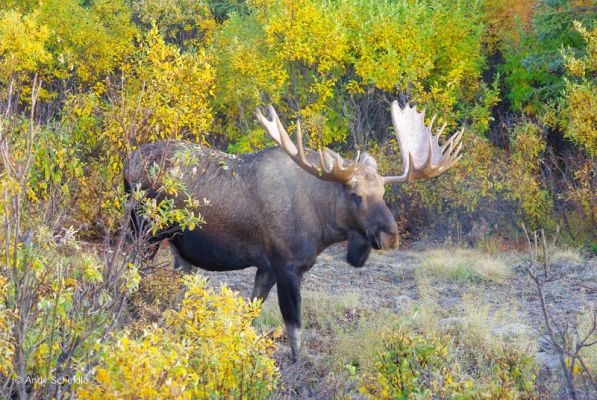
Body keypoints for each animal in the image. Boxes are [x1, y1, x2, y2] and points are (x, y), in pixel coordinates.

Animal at [123, 101, 464, 360]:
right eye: (355, 195)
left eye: (383, 191)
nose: (390, 235)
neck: (323, 225)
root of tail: (127, 162)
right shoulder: (286, 265)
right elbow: (294, 328)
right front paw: (297, 365)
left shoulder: (267, 267)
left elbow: (249, 315)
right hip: (143, 232)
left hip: (175, 246)